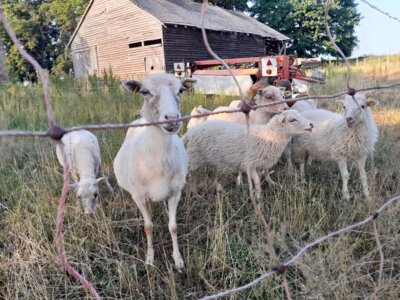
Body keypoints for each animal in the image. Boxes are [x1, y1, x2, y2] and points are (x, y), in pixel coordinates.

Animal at [112, 73, 195, 272]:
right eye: (144, 91)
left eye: (181, 90)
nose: (172, 119)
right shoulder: (139, 196)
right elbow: (148, 226)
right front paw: (149, 259)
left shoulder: (176, 193)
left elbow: (173, 227)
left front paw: (178, 260)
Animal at [184, 109, 312, 198]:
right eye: (292, 119)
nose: (311, 125)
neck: (270, 135)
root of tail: (189, 133)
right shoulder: (250, 165)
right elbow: (258, 182)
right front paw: (258, 197)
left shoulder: (263, 160)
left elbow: (267, 174)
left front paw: (273, 184)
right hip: (195, 158)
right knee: (192, 177)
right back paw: (195, 193)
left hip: (209, 159)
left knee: (210, 174)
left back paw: (221, 190)